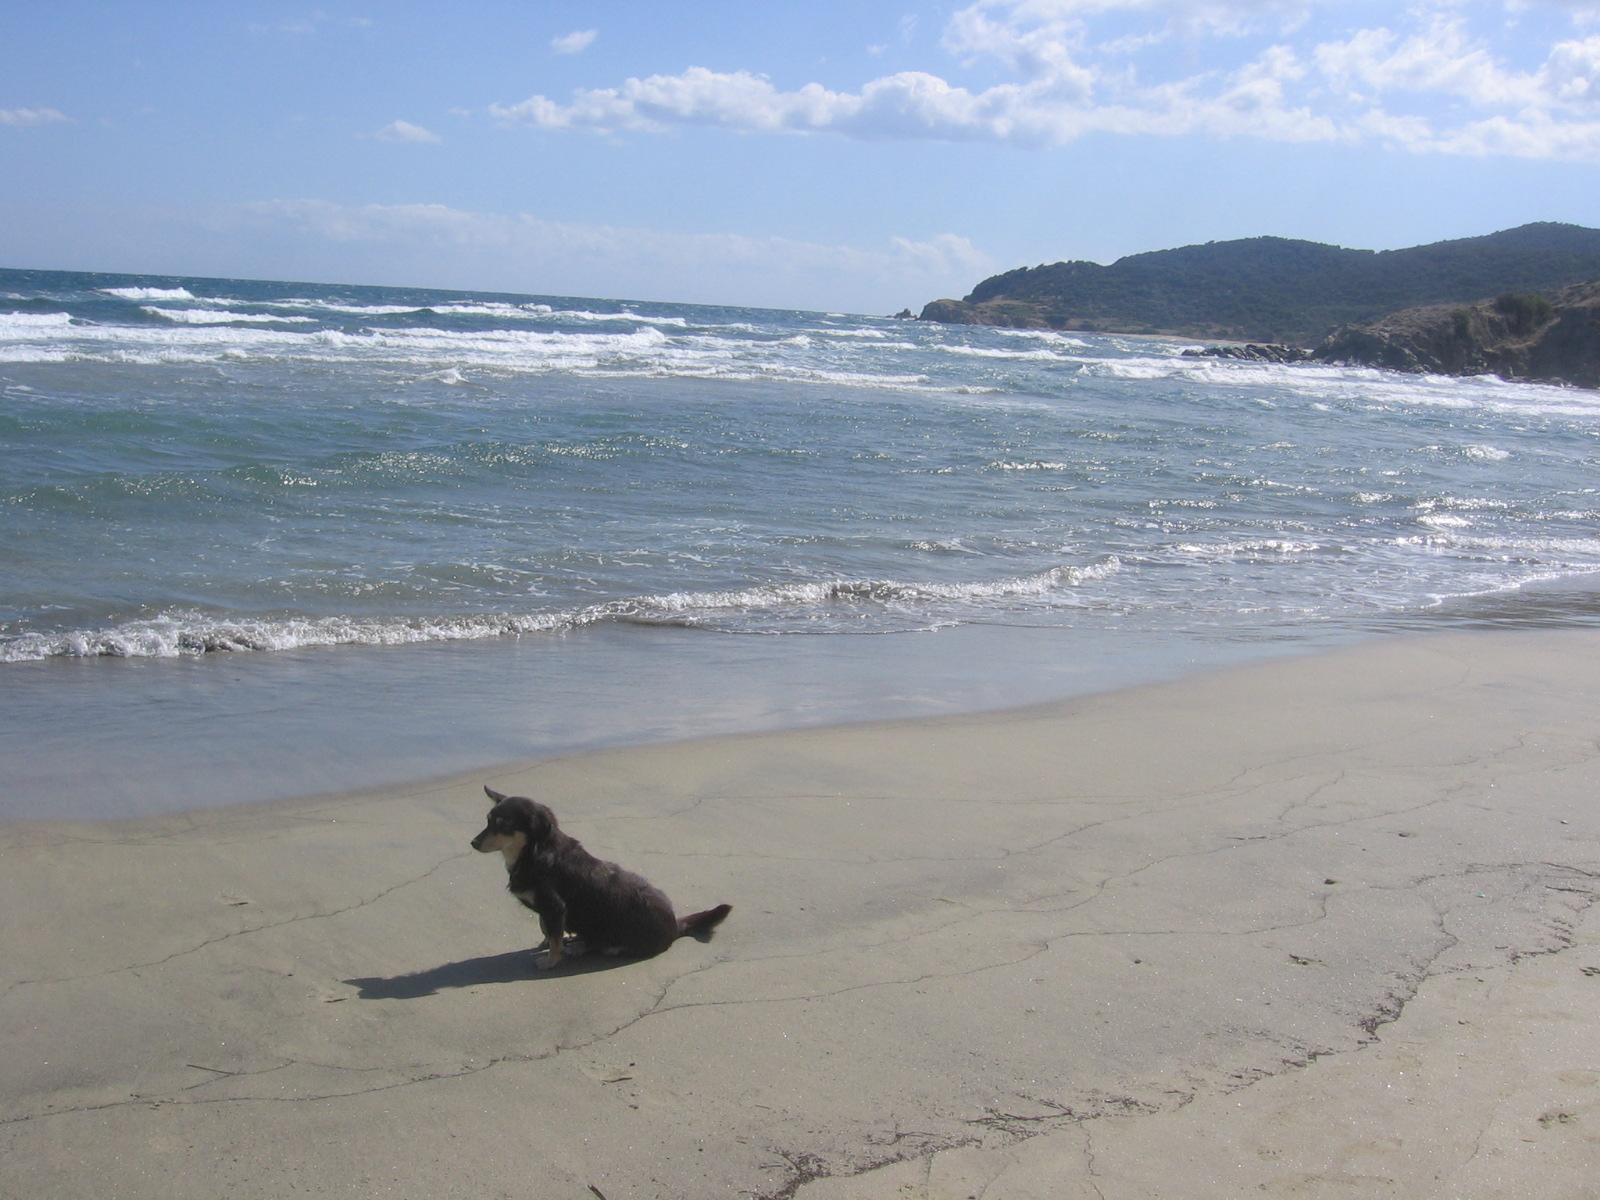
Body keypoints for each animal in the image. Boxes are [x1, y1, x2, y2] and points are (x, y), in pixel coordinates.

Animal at [467, 784, 732, 972]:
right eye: (488, 821)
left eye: (504, 824)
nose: (473, 843)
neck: (533, 853)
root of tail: (675, 924)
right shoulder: (549, 911)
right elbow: (546, 928)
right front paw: (550, 942)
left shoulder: (555, 906)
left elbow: (553, 936)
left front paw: (551, 959)